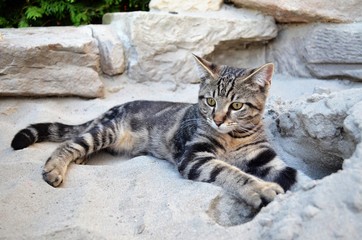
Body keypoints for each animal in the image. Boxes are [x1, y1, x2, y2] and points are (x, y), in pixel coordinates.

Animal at [11, 55, 296, 209]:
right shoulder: (194, 156)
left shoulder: (264, 155)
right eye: (210, 101)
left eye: (237, 106)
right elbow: (229, 172)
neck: (233, 138)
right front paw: (259, 189)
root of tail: (113, 108)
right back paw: (55, 168)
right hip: (108, 130)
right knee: (70, 143)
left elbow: (291, 174)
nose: (217, 120)